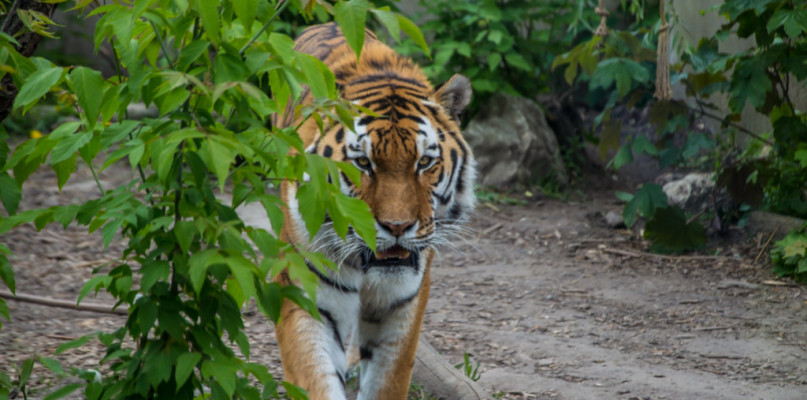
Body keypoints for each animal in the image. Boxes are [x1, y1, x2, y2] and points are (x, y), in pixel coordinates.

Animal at [276, 22, 476, 400]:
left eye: (424, 162)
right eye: (363, 163)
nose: (397, 226)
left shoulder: (402, 305)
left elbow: (388, 380)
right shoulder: (306, 293)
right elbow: (316, 378)